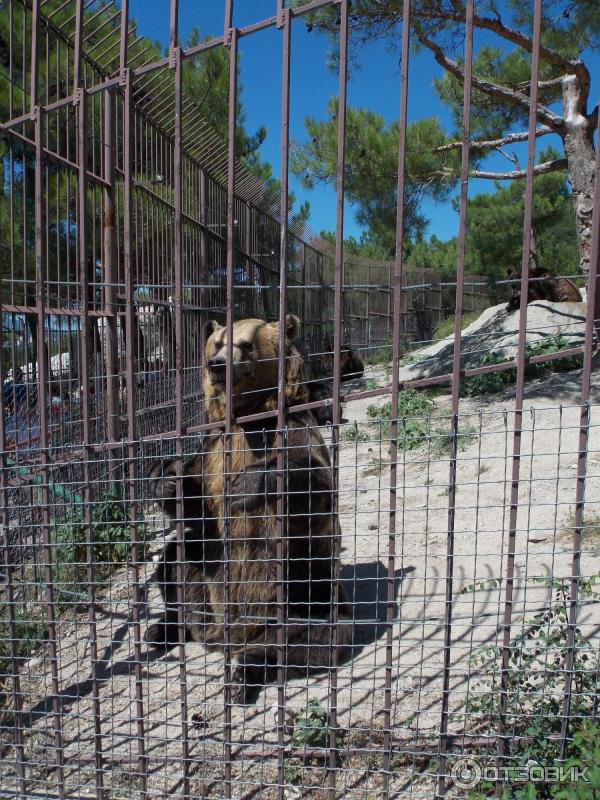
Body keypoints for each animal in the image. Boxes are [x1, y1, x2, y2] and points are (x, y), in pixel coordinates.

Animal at [146, 312, 352, 700]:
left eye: (245, 343)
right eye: (217, 343)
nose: (217, 364)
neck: (251, 415)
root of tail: (227, 633)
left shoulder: (293, 434)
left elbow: (316, 493)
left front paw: (253, 482)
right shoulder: (214, 451)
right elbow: (197, 507)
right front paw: (168, 480)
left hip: (304, 588)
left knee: (316, 635)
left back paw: (243, 675)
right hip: (206, 580)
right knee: (175, 559)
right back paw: (163, 629)